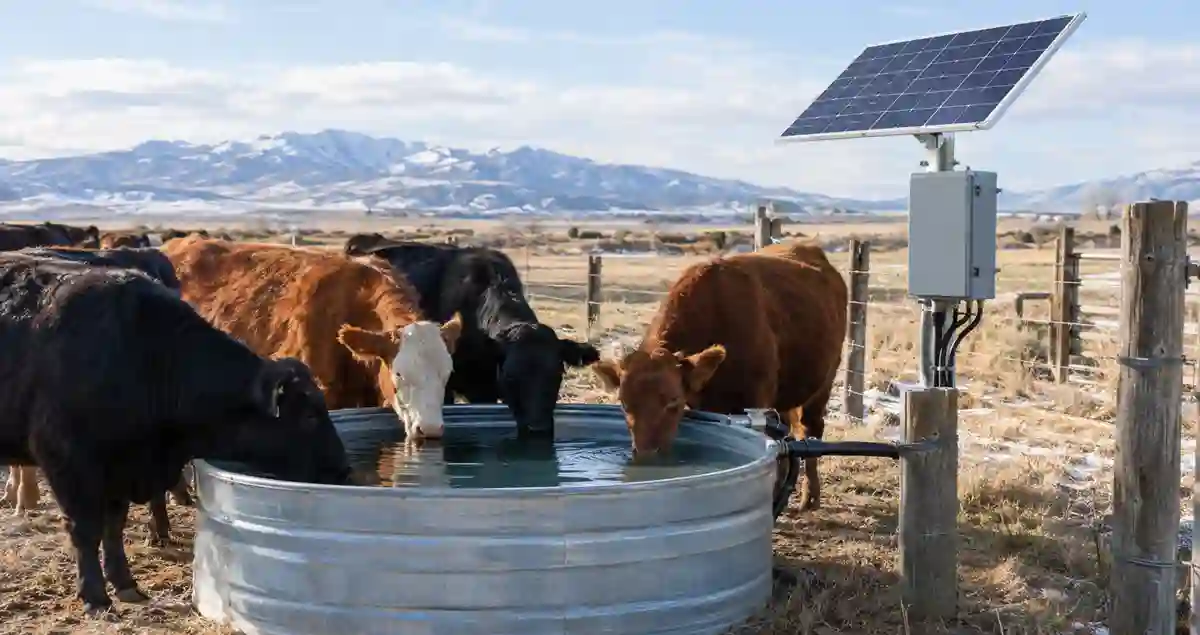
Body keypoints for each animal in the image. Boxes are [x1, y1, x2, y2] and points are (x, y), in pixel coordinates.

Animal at [590, 240, 848, 512]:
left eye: (673, 402)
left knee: (810, 430)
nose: (647, 455)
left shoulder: (756, 400)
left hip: (823, 383)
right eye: (624, 403)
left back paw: (810, 496)